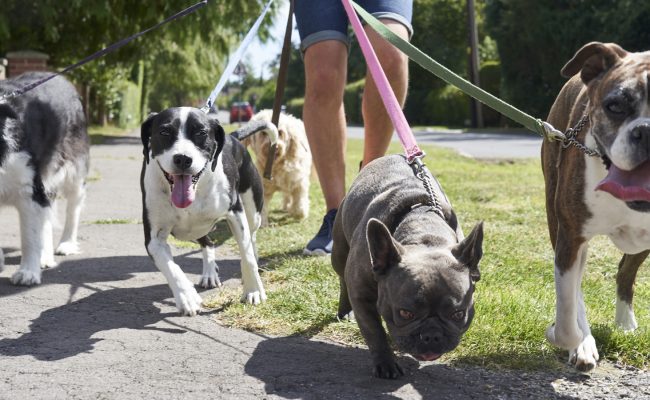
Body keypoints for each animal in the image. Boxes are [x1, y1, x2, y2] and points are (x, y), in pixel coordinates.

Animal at [140, 107, 276, 316]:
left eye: (201, 133)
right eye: (164, 132)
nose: (183, 158)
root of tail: (232, 136)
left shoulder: (236, 214)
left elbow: (246, 255)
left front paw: (253, 290)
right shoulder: (154, 238)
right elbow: (171, 267)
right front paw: (187, 296)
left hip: (253, 212)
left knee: (251, 237)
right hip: (195, 229)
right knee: (208, 243)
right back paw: (209, 274)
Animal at [540, 41, 648, 372]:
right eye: (616, 106)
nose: (647, 131)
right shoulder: (571, 237)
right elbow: (566, 318)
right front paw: (576, 341)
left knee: (626, 271)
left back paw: (625, 324)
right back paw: (585, 344)